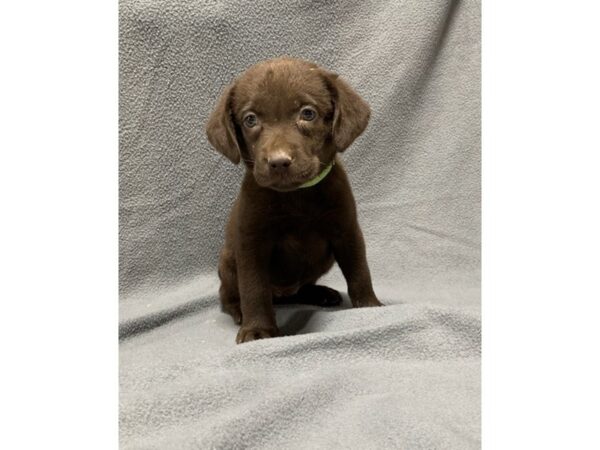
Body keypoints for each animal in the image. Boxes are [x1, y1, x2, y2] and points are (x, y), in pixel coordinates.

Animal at [206, 57, 382, 344]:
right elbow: (254, 288)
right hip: (228, 261)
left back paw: (321, 293)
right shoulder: (251, 242)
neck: (296, 196)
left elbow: (359, 270)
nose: (278, 161)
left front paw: (369, 306)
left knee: (300, 288)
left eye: (307, 113)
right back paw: (239, 311)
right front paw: (257, 330)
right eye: (250, 119)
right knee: (229, 294)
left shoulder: (347, 230)